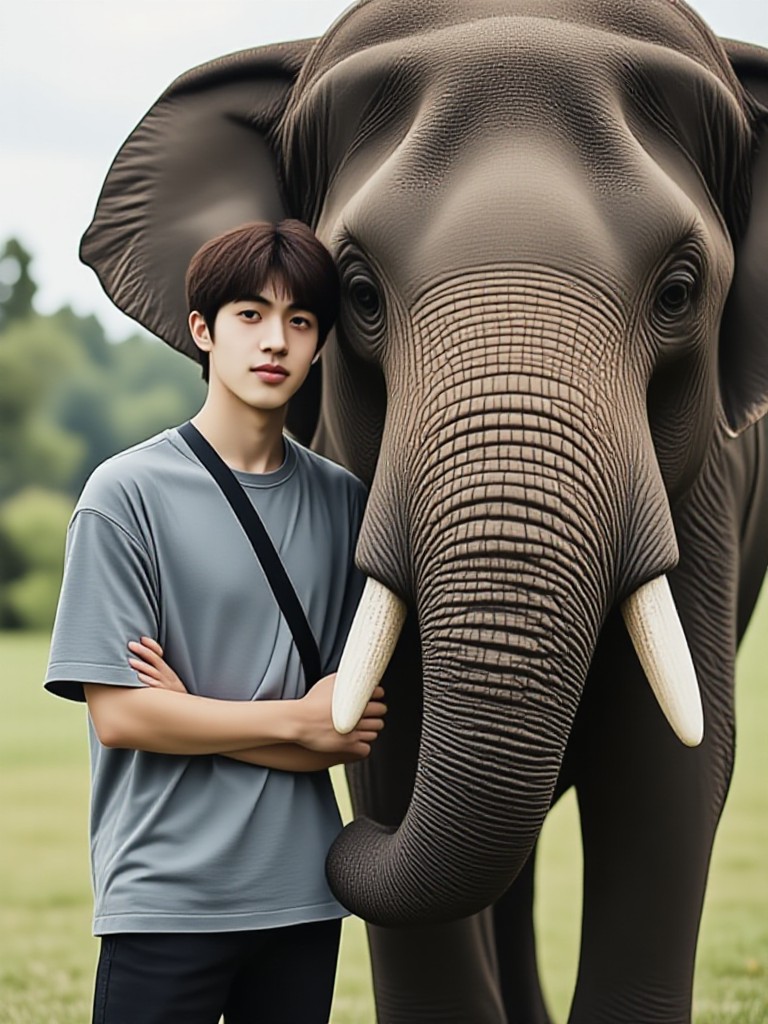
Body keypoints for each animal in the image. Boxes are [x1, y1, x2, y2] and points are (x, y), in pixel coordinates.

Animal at [80, 1, 768, 1020]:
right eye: (359, 294)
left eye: (680, 293)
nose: (337, 852)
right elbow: (392, 752)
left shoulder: (706, 490)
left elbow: (666, 774)